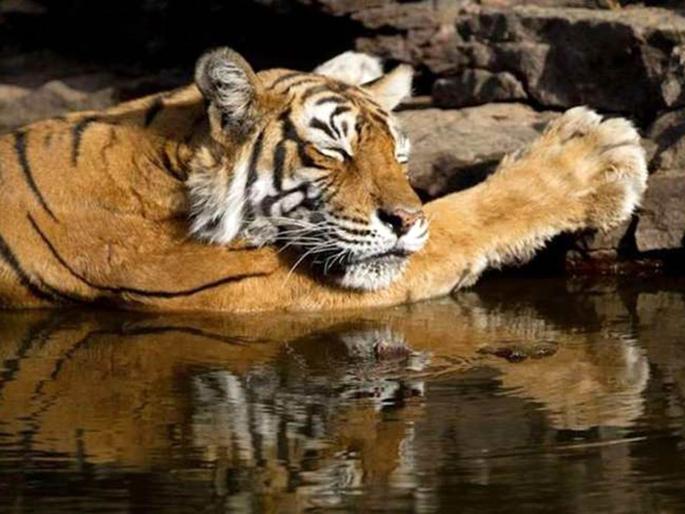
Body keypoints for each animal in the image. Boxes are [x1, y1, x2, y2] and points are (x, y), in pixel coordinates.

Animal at [0, 47, 647, 312]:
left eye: (400, 156)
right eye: (334, 150)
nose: (407, 219)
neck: (172, 164)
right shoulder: (253, 292)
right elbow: (461, 220)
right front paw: (596, 154)